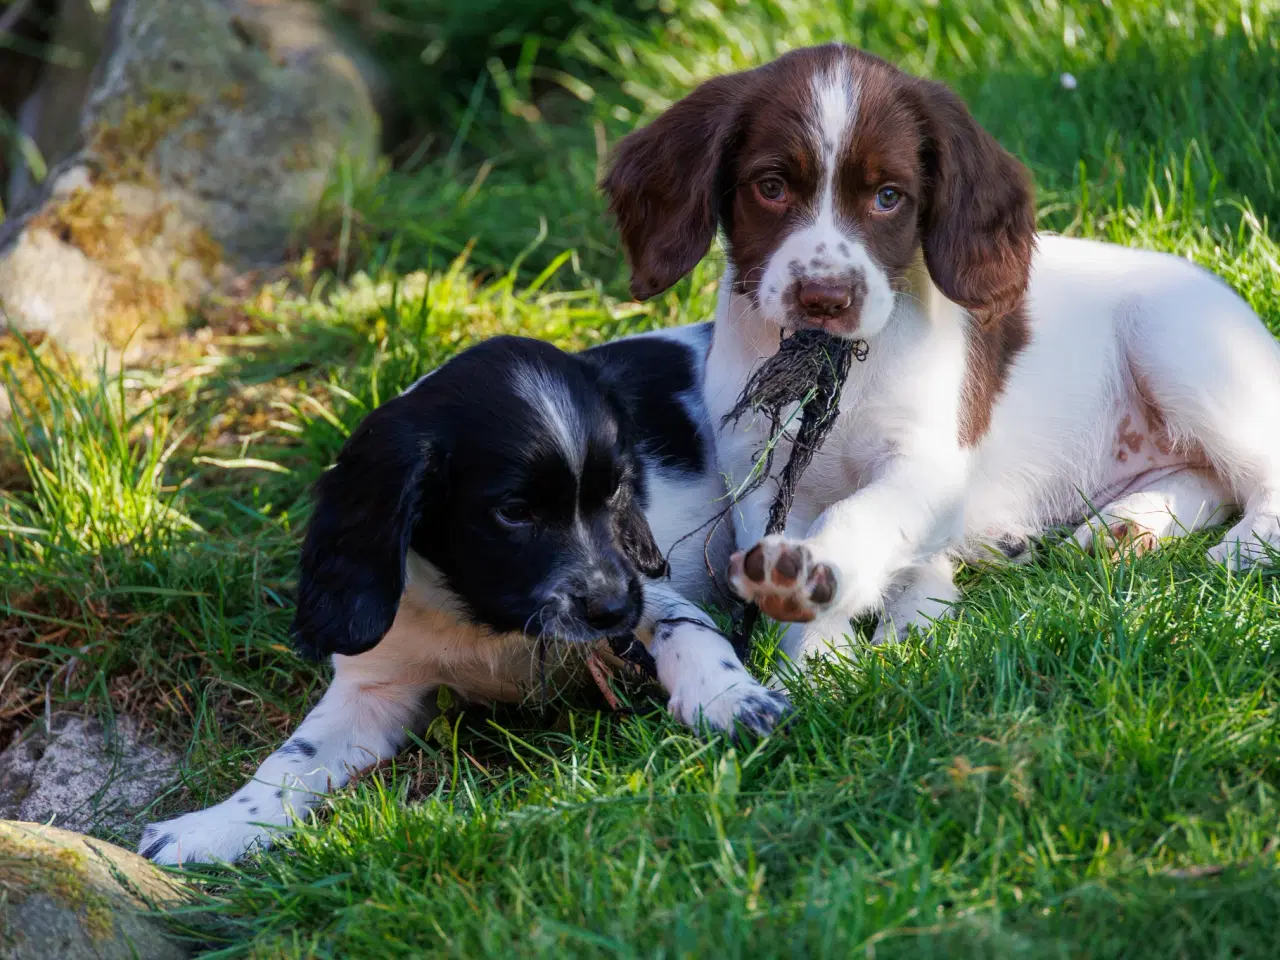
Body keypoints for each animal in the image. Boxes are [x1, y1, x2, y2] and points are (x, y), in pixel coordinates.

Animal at [137, 327, 778, 870]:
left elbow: (687, 629)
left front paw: (732, 698)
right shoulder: (376, 685)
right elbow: (293, 757)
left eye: (618, 489)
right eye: (514, 513)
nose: (613, 611)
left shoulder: (642, 589)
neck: (483, 618)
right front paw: (211, 828)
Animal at [601, 45, 1280, 670]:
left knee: (1255, 463)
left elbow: (857, 516)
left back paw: (1248, 545)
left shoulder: (926, 464)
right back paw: (1124, 525)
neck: (843, 367)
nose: (825, 298)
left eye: (888, 197)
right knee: (1209, 477)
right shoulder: (758, 479)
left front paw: (815, 584)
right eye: (770, 188)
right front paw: (817, 664)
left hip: (1178, 341)